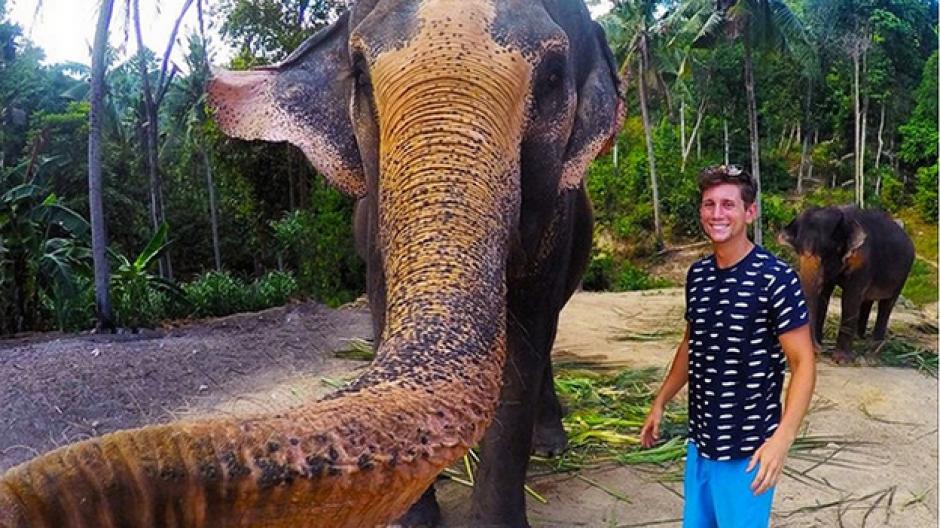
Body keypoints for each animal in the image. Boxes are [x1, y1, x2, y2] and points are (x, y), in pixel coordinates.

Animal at [1, 2, 624, 524]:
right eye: (361, 74)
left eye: (552, 76)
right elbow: (383, 314)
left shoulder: (555, 219)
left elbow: (521, 348)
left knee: (547, 334)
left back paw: (551, 445)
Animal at [780, 206, 916, 364]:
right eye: (798, 252)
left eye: (826, 252)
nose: (818, 349)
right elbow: (824, 295)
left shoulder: (863, 262)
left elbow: (850, 298)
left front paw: (842, 360)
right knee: (867, 301)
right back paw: (859, 339)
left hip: (904, 274)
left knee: (886, 305)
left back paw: (872, 356)